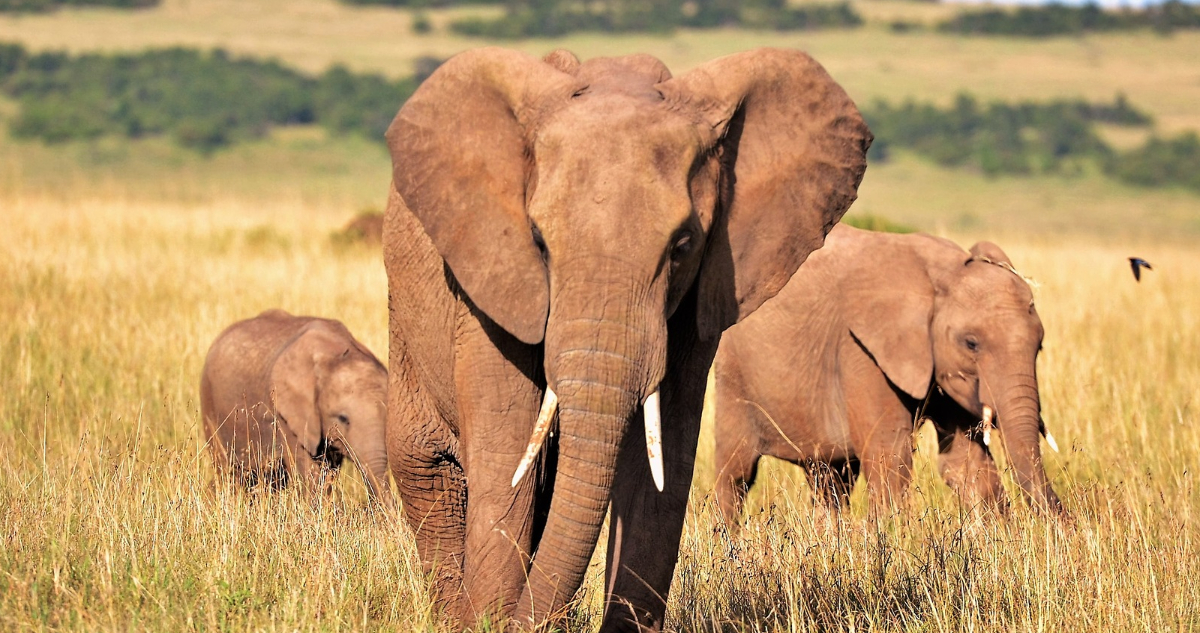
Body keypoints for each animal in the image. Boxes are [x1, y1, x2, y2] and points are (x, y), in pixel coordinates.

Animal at [200, 309, 393, 506]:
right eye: (343, 419)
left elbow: (327, 472)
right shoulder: (286, 414)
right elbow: (311, 472)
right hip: (209, 402)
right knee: (226, 471)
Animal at [382, 47, 871, 631]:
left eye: (682, 245)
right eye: (539, 242)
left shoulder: (698, 302)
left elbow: (661, 468)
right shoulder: (489, 286)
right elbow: (507, 460)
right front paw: (492, 619)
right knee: (429, 470)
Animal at [713, 225, 1064, 527]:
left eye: (1039, 345)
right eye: (971, 343)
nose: (1062, 517)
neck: (941, 273)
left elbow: (966, 463)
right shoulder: (860, 349)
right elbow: (890, 457)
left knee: (831, 479)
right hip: (733, 372)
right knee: (736, 474)